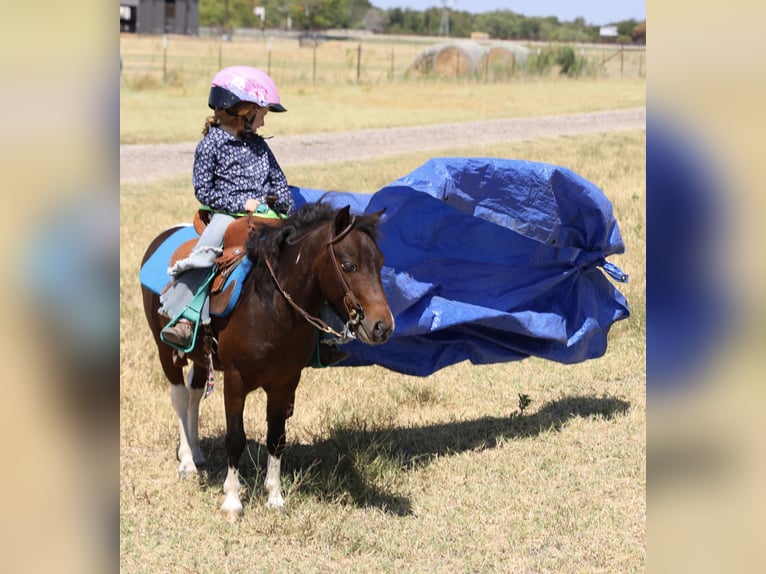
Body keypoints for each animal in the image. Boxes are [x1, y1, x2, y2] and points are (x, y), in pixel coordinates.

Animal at [140, 202, 394, 518]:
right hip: (164, 349)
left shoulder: (285, 382)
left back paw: (197, 453)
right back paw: (186, 460)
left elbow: (276, 437)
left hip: (201, 358)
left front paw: (274, 497)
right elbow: (235, 438)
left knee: (194, 395)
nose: (383, 326)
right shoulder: (235, 382)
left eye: (380, 263)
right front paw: (232, 501)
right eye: (349, 265)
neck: (271, 308)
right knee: (179, 396)